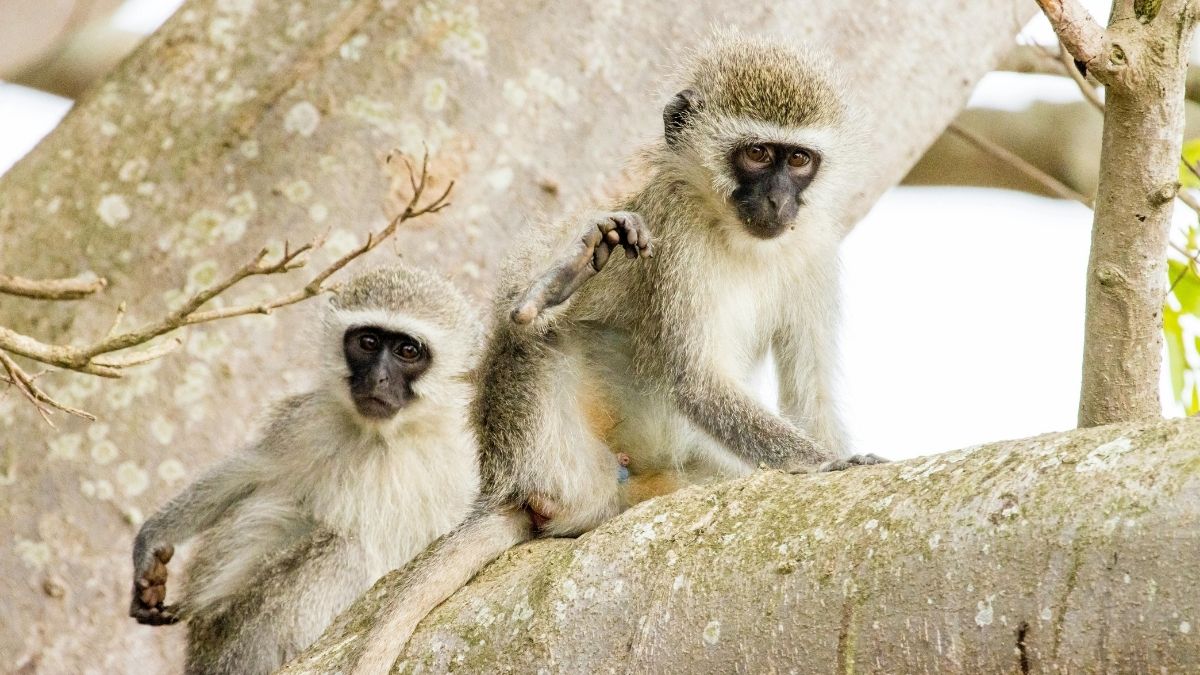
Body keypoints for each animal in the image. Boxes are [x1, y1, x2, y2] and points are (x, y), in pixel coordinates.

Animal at [128, 264, 482, 675]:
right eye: (367, 342)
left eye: (408, 351)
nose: (378, 378)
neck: (386, 438)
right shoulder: (307, 424)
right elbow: (252, 469)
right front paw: (151, 540)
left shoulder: (465, 453)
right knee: (343, 548)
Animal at [290, 33, 887, 674]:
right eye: (756, 154)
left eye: (797, 160)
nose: (778, 200)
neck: (735, 233)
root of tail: (507, 481)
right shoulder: (674, 235)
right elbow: (697, 380)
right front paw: (831, 464)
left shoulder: (814, 244)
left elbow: (810, 392)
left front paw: (834, 454)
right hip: (557, 449)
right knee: (539, 338)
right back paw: (552, 291)